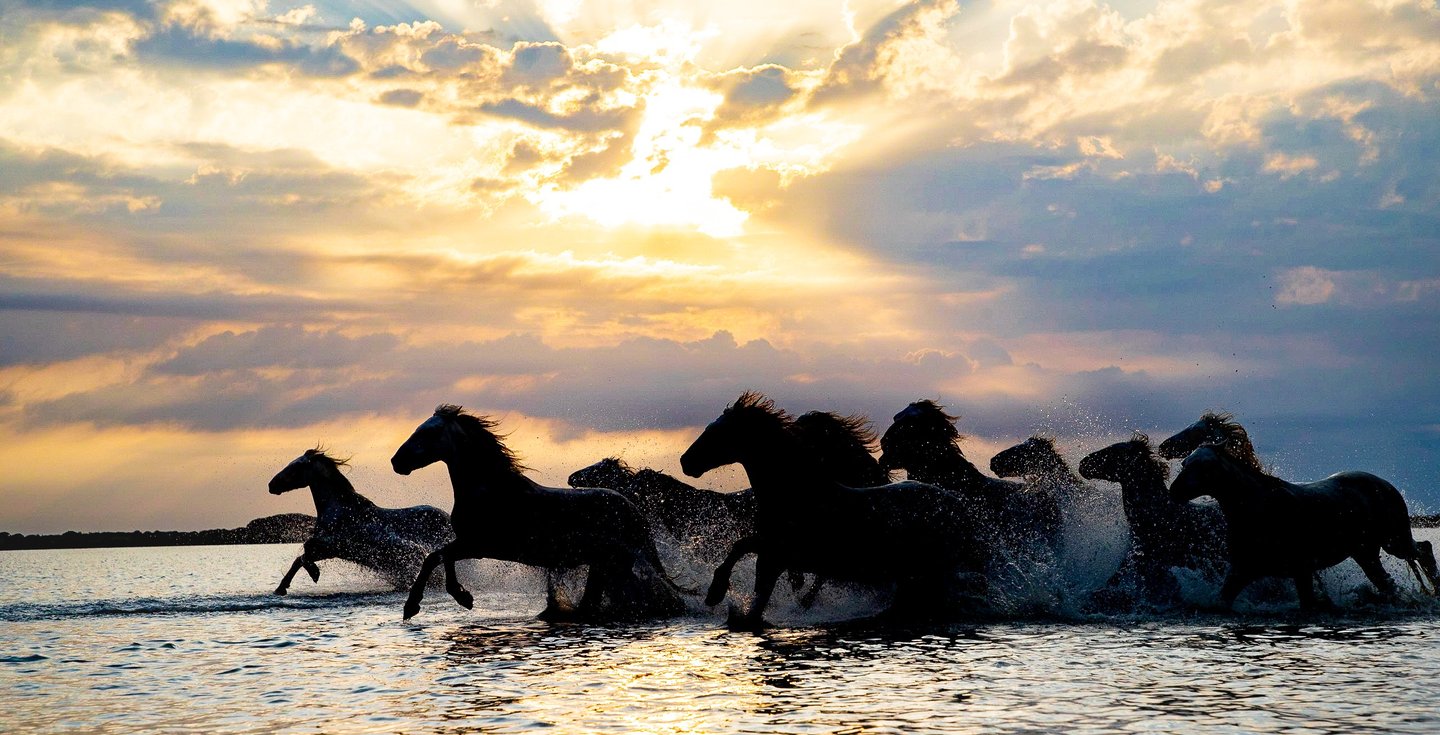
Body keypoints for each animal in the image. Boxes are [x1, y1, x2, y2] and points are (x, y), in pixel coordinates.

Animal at [267, 448, 453, 594]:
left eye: (295, 466)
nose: (271, 485)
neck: (338, 509)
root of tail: (447, 519)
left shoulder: (330, 544)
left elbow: (304, 553)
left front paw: (313, 574)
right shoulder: (329, 551)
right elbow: (299, 559)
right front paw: (281, 588)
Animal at [391, 405, 687, 621]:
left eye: (429, 433)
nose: (396, 462)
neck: (489, 490)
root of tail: (633, 511)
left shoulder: (480, 544)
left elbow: (438, 556)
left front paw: (436, 602)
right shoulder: (470, 543)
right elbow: (439, 556)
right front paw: (447, 600)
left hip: (614, 562)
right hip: (603, 563)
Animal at [680, 392, 990, 629]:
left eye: (717, 433)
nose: (685, 462)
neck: (796, 495)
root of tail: (958, 506)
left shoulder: (781, 554)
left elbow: (751, 573)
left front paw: (717, 594)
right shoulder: (772, 552)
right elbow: (742, 553)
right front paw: (717, 595)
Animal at [1170, 442, 1440, 609]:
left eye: (1204, 467)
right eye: (1184, 463)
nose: (1174, 490)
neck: (1259, 506)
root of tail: (1385, 484)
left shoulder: (1302, 569)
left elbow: (1308, 604)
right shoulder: (1243, 569)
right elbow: (1222, 600)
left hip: (1394, 540)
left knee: (1424, 549)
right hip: (1365, 553)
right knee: (1387, 583)